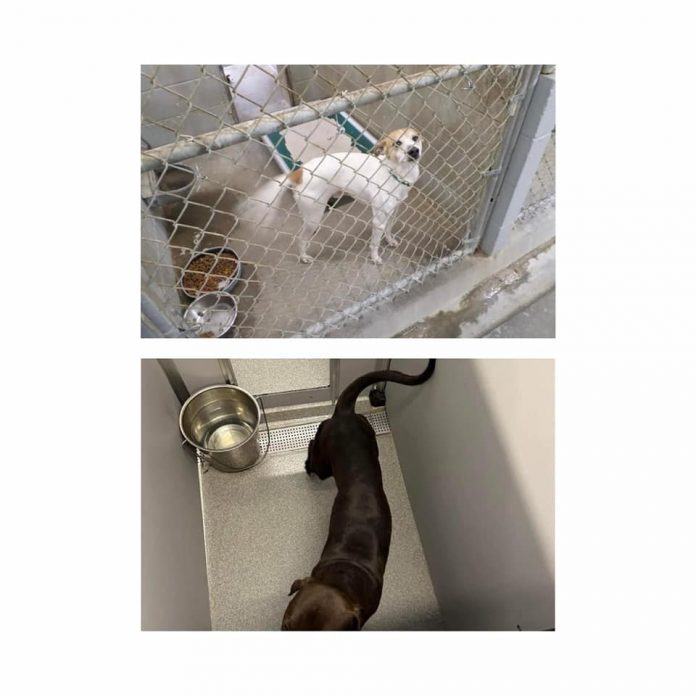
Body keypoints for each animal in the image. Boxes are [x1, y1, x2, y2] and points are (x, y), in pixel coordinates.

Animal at [286, 127, 422, 264]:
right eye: (397, 143)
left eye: (415, 138)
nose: (414, 151)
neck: (395, 173)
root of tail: (300, 172)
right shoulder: (378, 221)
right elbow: (375, 243)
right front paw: (375, 257)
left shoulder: (393, 212)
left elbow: (388, 229)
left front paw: (390, 240)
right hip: (315, 217)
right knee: (301, 239)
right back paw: (303, 256)